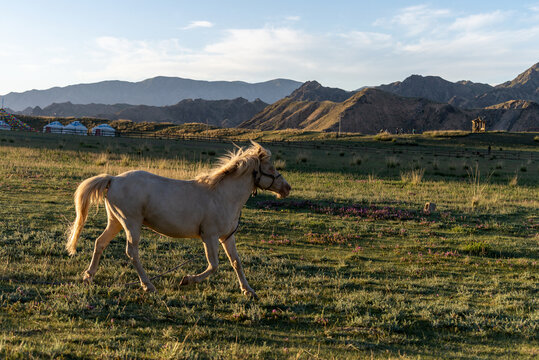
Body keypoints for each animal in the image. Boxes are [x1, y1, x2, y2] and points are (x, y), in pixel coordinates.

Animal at [66, 142, 292, 296]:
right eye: (271, 168)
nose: (287, 188)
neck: (222, 195)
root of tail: (113, 179)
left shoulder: (227, 237)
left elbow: (236, 262)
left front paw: (248, 291)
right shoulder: (209, 236)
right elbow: (214, 265)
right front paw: (187, 280)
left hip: (115, 222)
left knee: (100, 243)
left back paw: (88, 276)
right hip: (131, 223)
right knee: (132, 253)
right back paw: (148, 285)